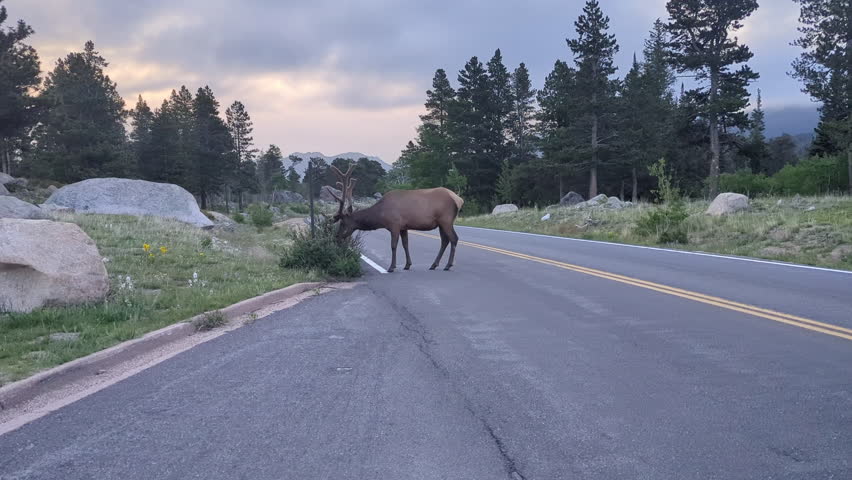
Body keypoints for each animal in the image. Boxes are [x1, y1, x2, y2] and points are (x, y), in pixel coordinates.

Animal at [328, 164, 464, 273]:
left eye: (343, 223)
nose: (336, 237)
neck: (381, 216)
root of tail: (459, 200)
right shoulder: (404, 227)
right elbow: (405, 244)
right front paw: (407, 265)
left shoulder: (394, 225)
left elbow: (393, 245)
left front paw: (391, 267)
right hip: (441, 223)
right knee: (445, 240)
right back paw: (434, 265)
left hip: (446, 219)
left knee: (454, 238)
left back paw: (447, 265)